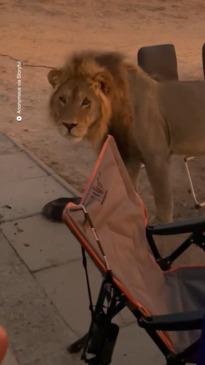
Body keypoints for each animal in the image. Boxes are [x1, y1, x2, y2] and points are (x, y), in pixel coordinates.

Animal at [47, 50, 205, 222]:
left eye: (86, 101)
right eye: (62, 99)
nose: (68, 125)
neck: (112, 117)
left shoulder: (156, 157)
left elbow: (163, 201)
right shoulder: (128, 157)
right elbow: (126, 194)